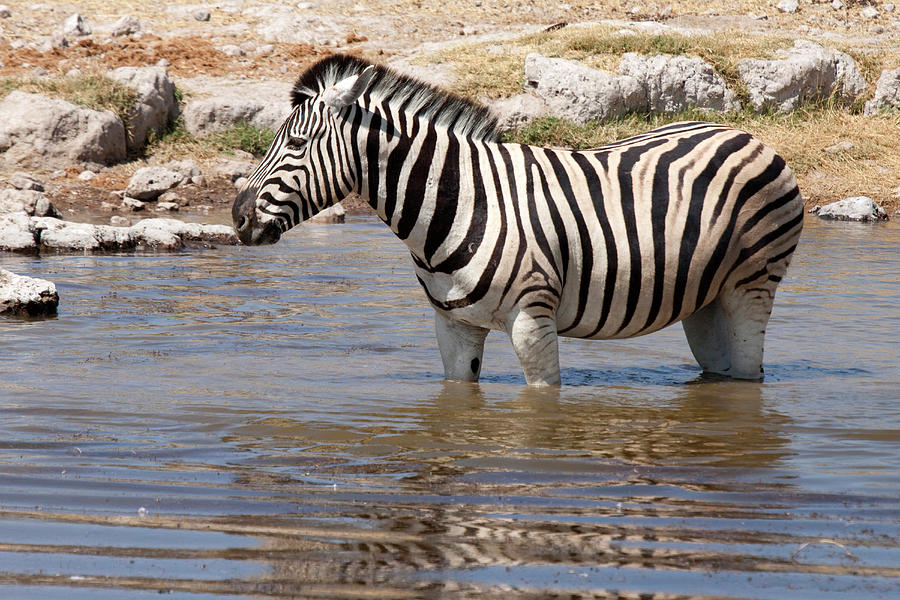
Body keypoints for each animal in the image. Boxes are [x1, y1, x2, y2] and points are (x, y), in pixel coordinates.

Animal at [232, 55, 800, 384]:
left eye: (296, 144)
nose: (237, 217)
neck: (461, 203)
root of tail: (746, 134)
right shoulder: (453, 326)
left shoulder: (533, 321)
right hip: (704, 298)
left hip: (751, 285)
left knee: (748, 372)